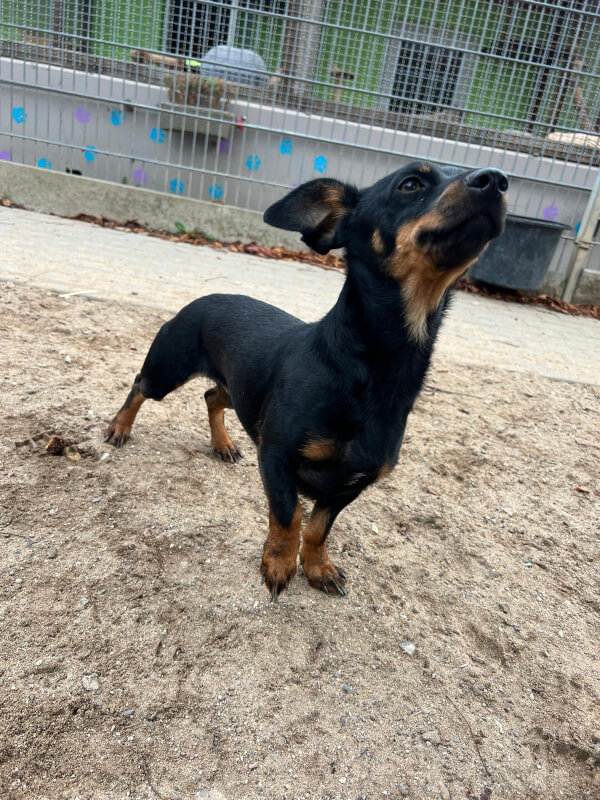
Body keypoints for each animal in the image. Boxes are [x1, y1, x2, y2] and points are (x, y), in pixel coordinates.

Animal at [104, 161, 507, 600]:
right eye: (410, 184)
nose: (497, 179)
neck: (369, 373)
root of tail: (206, 296)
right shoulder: (275, 457)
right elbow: (290, 516)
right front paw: (279, 564)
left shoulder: (348, 486)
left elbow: (318, 529)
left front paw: (318, 567)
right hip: (167, 371)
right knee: (140, 386)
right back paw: (119, 428)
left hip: (240, 392)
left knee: (212, 396)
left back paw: (223, 443)